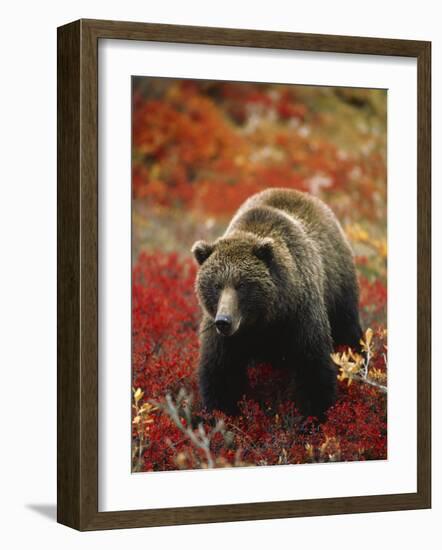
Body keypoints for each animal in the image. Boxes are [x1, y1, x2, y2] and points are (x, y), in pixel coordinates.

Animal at [192, 188, 360, 420]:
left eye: (241, 284)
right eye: (216, 285)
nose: (224, 321)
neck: (263, 320)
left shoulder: (299, 316)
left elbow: (313, 367)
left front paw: (315, 415)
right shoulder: (223, 336)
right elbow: (220, 372)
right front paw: (222, 414)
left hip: (339, 287)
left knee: (348, 329)